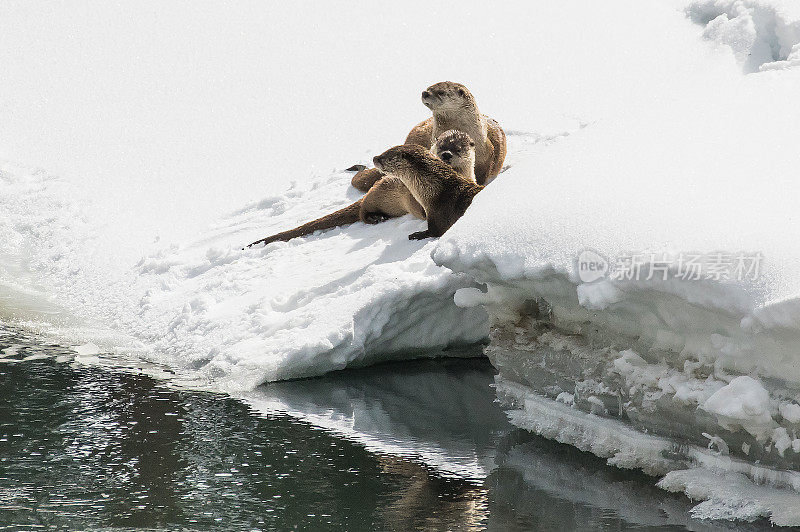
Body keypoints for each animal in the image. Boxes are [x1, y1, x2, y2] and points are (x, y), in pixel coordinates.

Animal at [247, 130, 476, 248]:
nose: (374, 157)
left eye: (387, 156)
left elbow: (435, 231)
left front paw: (416, 235)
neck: (439, 191)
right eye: (386, 149)